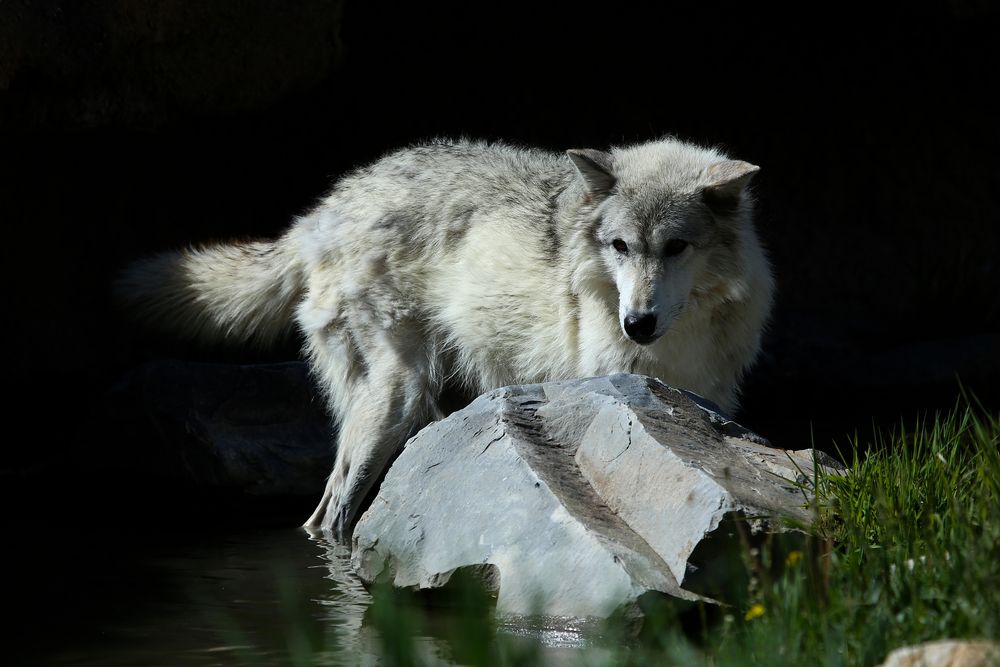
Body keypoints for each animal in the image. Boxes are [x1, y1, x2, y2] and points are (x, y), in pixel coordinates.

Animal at [119, 137, 774, 537]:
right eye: (620, 247)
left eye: (676, 247)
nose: (635, 323)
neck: (679, 339)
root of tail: (324, 211)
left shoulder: (708, 398)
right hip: (396, 403)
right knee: (331, 514)